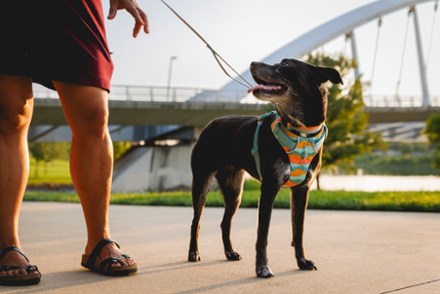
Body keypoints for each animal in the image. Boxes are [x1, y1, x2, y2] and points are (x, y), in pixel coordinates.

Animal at [187, 58, 342, 278]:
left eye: (285, 65)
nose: (252, 63)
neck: (301, 132)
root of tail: (209, 124)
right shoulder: (269, 188)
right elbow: (263, 234)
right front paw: (262, 268)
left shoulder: (302, 190)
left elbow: (298, 231)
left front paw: (302, 262)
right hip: (202, 181)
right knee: (196, 221)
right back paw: (193, 252)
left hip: (234, 191)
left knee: (225, 222)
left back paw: (230, 252)